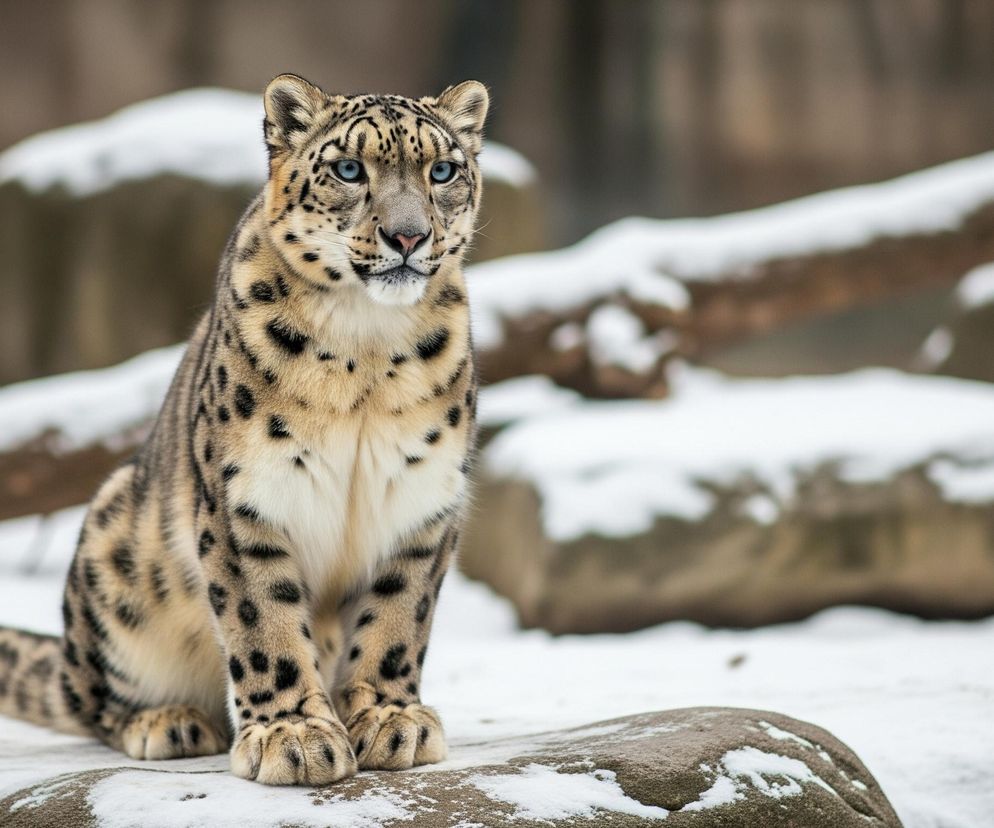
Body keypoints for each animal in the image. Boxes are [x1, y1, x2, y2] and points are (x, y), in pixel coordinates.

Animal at [0, 73, 488, 786]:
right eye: (349, 169)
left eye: (443, 170)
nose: (408, 236)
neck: (367, 348)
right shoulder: (247, 498)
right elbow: (266, 623)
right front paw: (296, 737)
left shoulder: (422, 498)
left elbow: (398, 617)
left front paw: (390, 720)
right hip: (112, 548)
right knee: (91, 698)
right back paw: (168, 722)